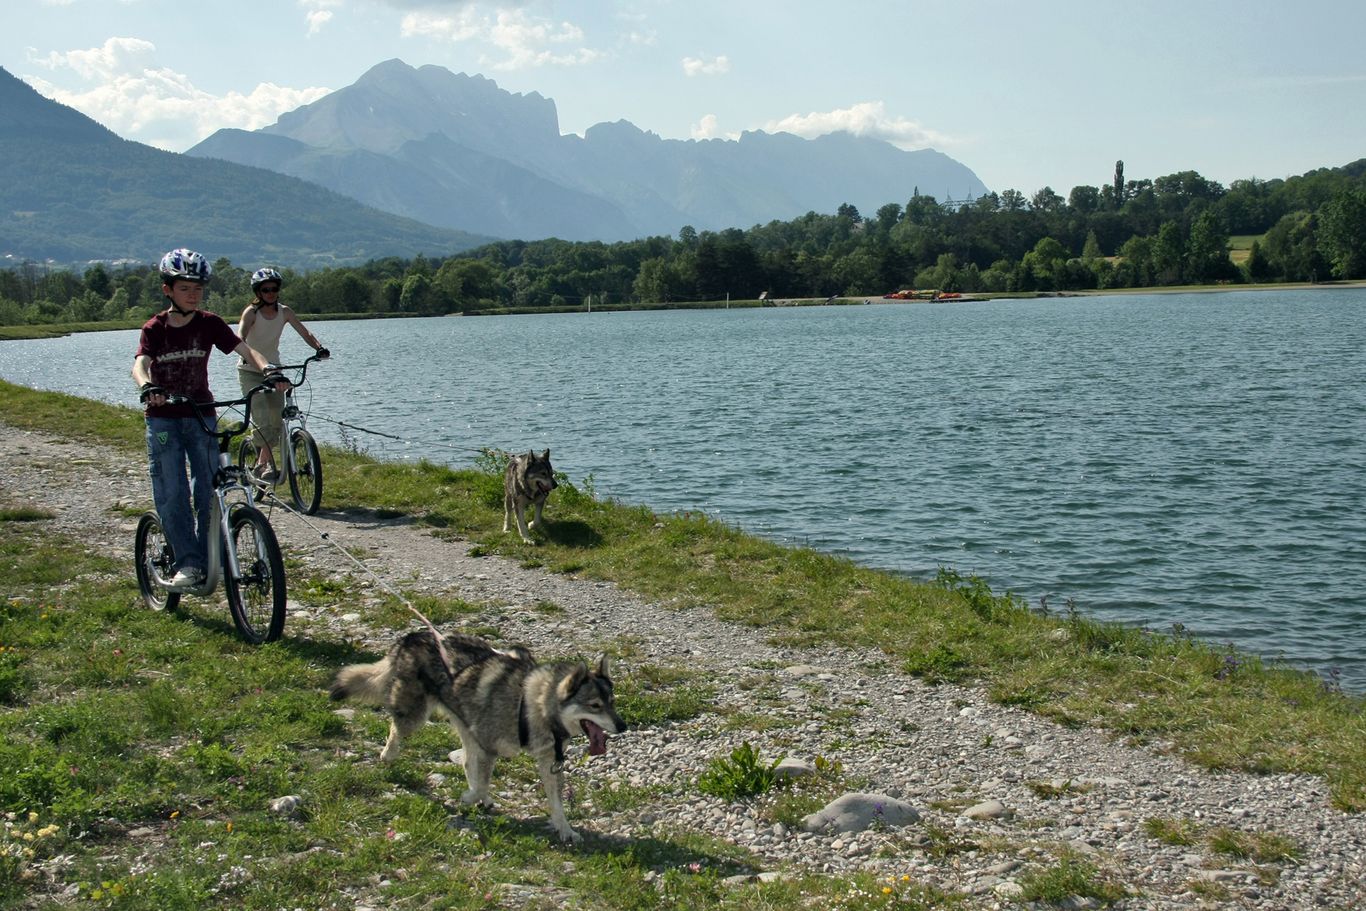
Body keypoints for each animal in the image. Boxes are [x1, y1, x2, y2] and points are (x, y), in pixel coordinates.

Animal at [330, 631, 628, 846]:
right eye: (595, 706)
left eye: (612, 702)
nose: (623, 726)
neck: (530, 705)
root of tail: (410, 636)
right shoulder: (489, 749)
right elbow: (481, 784)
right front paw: (468, 797)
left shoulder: (548, 762)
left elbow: (557, 805)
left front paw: (565, 831)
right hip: (415, 717)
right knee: (396, 729)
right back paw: (388, 756)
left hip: (466, 726)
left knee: (465, 762)